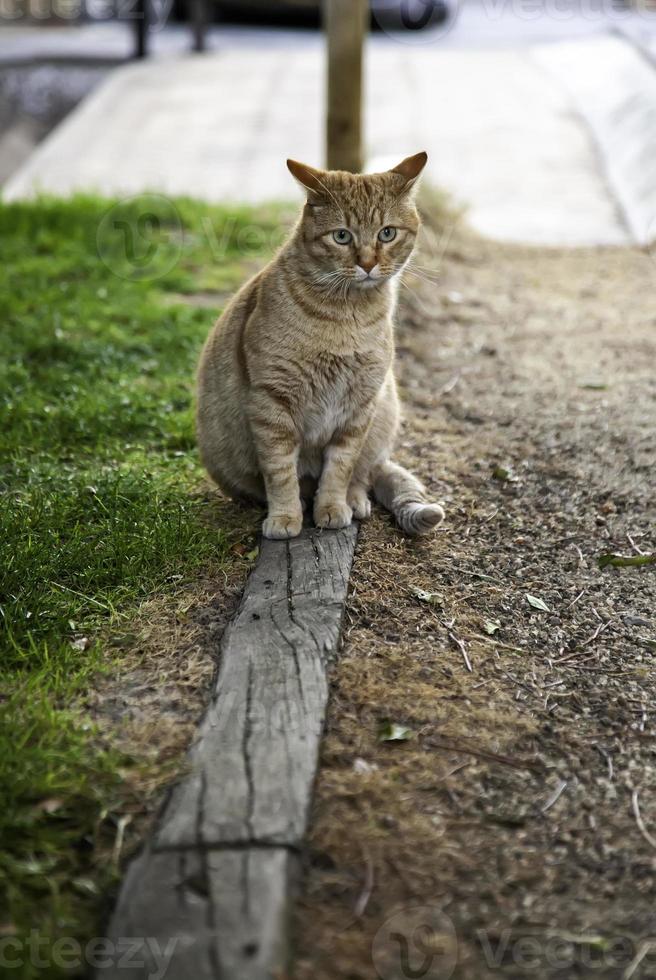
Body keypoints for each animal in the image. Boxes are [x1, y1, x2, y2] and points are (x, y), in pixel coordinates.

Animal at [197, 149, 444, 540]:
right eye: (341, 236)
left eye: (387, 233)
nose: (368, 263)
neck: (344, 317)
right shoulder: (272, 402)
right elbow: (281, 471)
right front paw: (286, 516)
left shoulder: (359, 406)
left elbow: (340, 469)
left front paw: (332, 507)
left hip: (383, 415)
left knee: (365, 473)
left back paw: (355, 501)